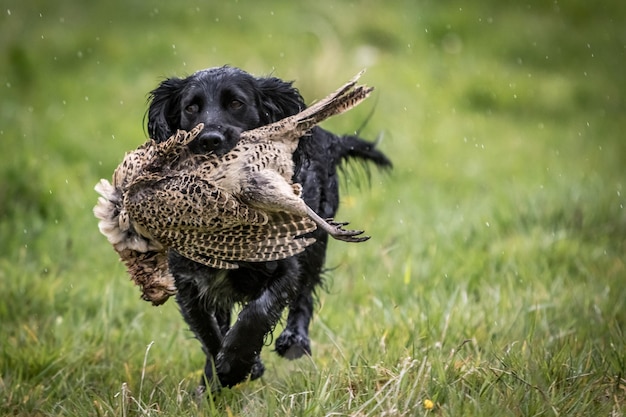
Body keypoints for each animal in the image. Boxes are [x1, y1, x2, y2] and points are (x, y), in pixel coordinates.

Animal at [146, 66, 390, 390]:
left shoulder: (286, 264)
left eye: (236, 103)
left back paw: (295, 340)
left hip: (313, 243)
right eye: (190, 107)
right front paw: (222, 372)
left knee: (305, 294)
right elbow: (209, 331)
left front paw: (235, 363)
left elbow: (257, 312)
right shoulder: (189, 281)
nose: (209, 140)